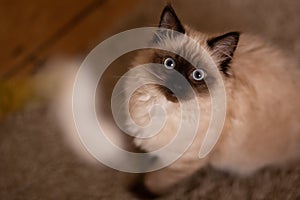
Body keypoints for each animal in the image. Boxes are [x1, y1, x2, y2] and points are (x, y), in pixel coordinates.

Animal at [121, 4, 300, 195]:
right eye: (169, 64)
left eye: (197, 75)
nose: (177, 85)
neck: (165, 110)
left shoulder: (181, 162)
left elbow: (156, 181)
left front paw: (139, 192)